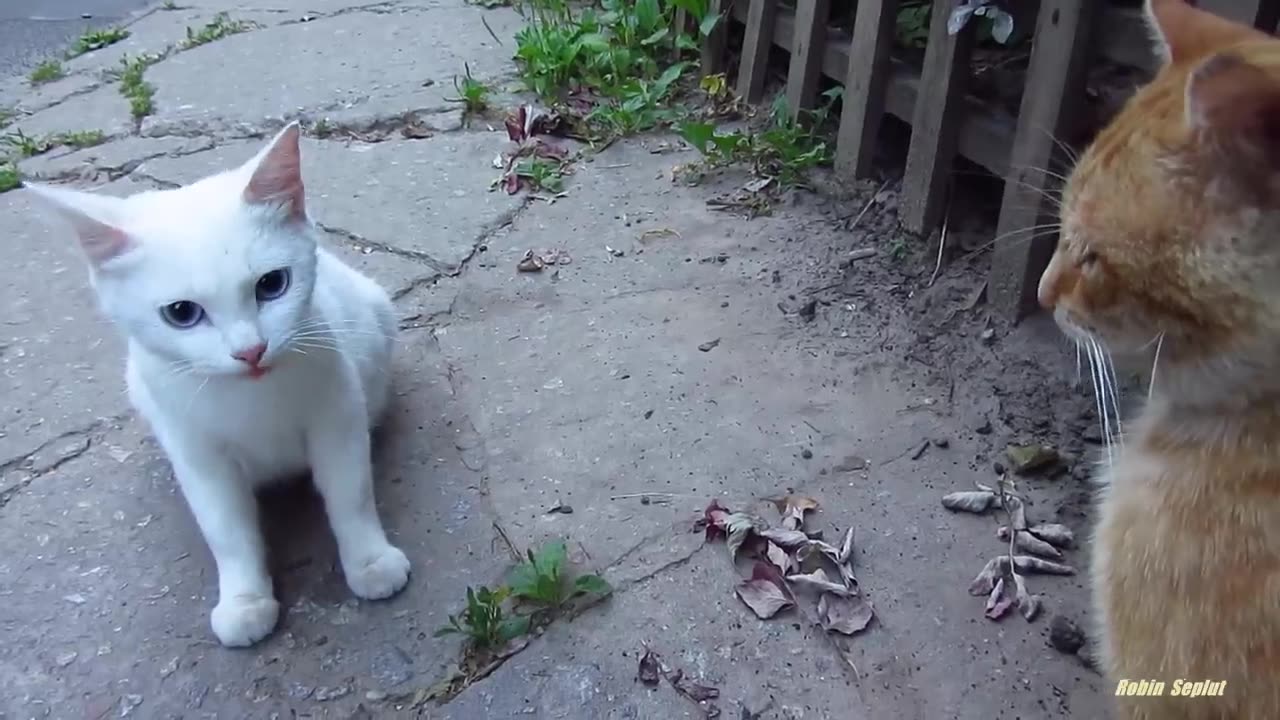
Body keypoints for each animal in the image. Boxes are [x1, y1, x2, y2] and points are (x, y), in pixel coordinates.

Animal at [23, 121, 409, 645]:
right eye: (181, 313)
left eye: (272, 285)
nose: (250, 350)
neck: (251, 400)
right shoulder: (198, 455)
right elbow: (226, 530)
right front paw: (245, 599)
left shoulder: (337, 415)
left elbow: (351, 494)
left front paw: (370, 560)